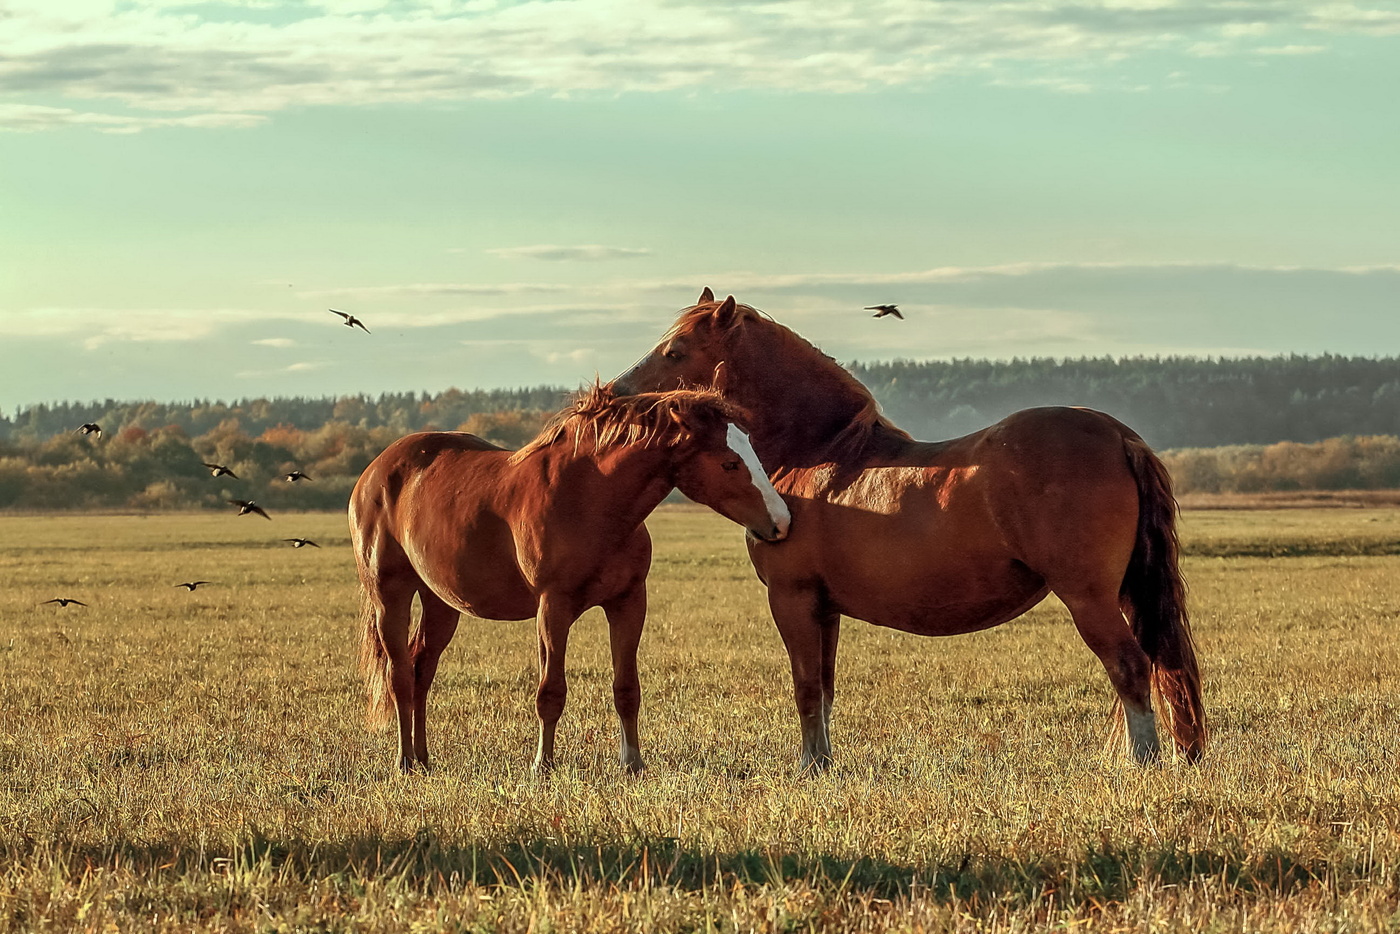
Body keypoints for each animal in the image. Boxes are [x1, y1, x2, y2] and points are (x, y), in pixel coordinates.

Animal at [351, 385, 791, 774]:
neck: (588, 499)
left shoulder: (628, 603)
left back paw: (423, 759)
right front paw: (542, 766)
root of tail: (375, 471)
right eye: (729, 463)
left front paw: (632, 764)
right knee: (399, 675)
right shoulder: (553, 608)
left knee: (421, 670)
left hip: (442, 603)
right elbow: (551, 692)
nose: (782, 522)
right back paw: (404, 761)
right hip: (390, 596)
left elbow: (626, 689)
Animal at [610, 289, 1206, 770]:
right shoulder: (825, 608)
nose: (615, 395)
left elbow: (805, 686)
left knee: (1130, 667)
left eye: (675, 351)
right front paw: (824, 763)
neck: (822, 453)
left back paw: (1142, 763)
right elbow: (824, 686)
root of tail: (1117, 434)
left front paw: (808, 768)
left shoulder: (792, 598)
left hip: (1088, 597)